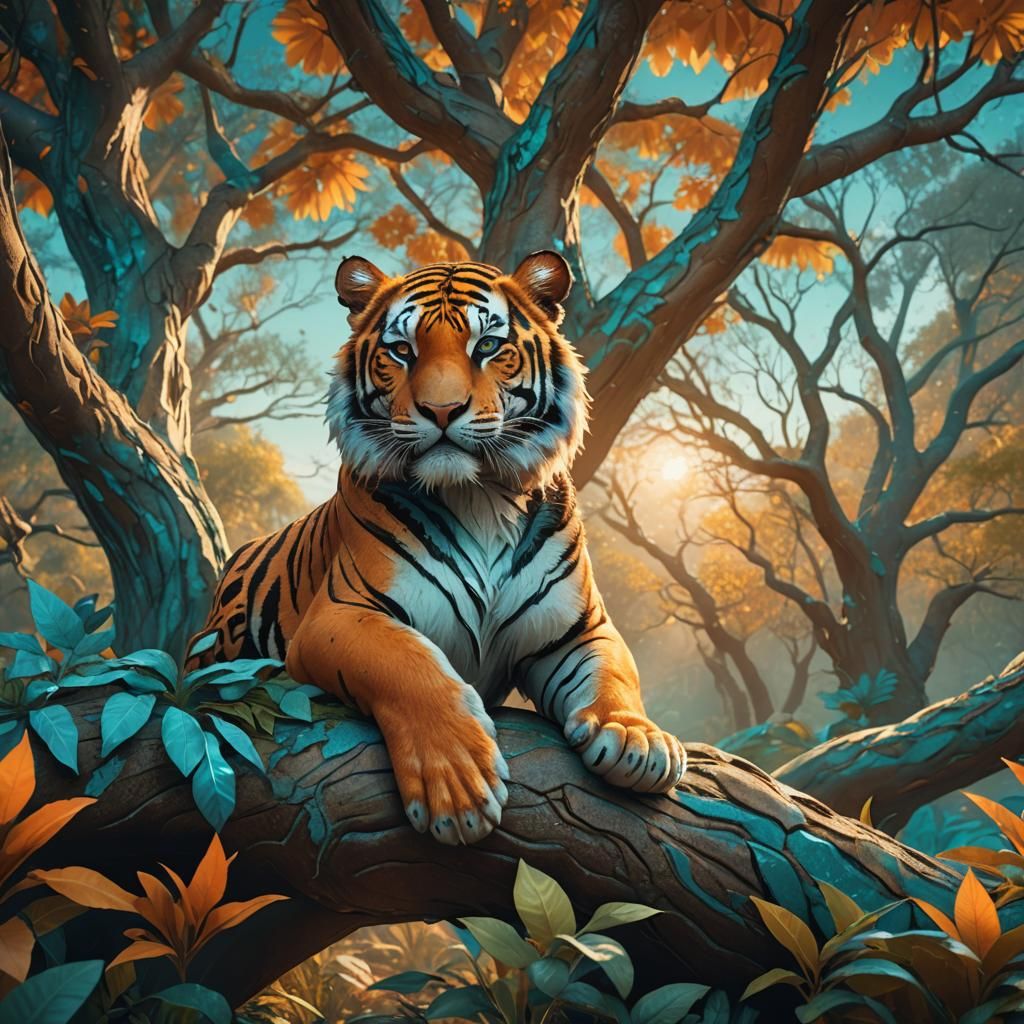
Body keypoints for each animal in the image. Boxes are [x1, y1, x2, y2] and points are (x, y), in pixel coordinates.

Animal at [194, 250, 686, 845]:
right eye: (402, 350)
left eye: (488, 346)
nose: (442, 410)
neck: (479, 499)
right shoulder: (340, 615)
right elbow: (409, 664)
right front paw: (457, 786)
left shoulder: (578, 629)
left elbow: (614, 674)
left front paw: (637, 740)